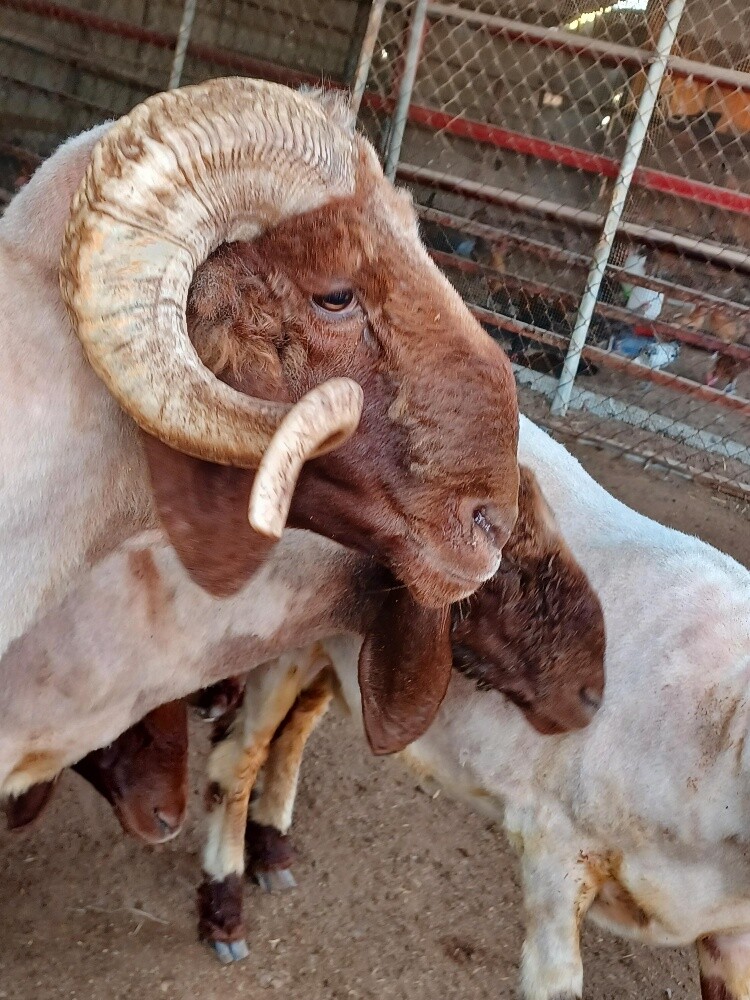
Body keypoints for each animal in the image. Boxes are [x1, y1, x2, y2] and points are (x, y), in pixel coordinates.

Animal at [223, 415, 750, 999]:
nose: (589, 697)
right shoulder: (555, 844)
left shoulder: (733, 935)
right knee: (241, 751)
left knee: (295, 727)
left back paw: (271, 846)